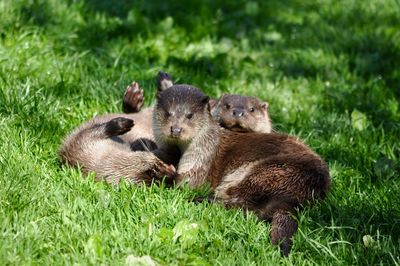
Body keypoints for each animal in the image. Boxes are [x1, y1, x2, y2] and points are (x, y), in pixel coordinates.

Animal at [152, 83, 330, 256]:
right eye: (168, 113)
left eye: (189, 115)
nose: (176, 129)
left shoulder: (200, 162)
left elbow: (187, 184)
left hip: (266, 172)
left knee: (244, 204)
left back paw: (200, 200)